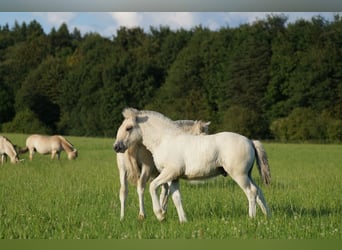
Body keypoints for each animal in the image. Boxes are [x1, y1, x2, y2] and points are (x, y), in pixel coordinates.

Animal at [113, 108, 272, 223]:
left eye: (128, 128)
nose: (116, 147)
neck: (165, 140)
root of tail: (250, 141)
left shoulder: (169, 173)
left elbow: (153, 187)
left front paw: (160, 215)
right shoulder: (173, 178)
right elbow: (176, 198)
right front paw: (183, 220)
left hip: (239, 175)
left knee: (251, 192)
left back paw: (251, 217)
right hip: (248, 174)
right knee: (259, 191)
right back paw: (267, 215)